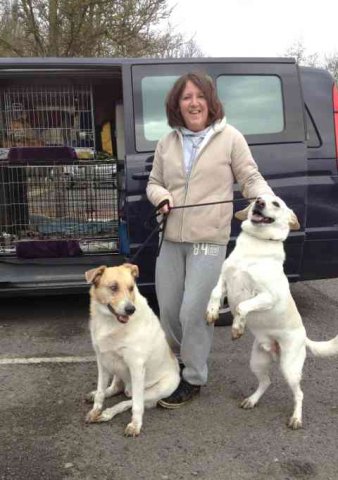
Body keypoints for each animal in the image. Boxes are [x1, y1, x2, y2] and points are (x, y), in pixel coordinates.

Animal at [84, 264, 180, 436]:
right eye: (113, 287)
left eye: (131, 288)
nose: (130, 309)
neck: (110, 322)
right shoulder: (102, 360)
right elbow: (101, 391)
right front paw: (95, 409)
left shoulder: (136, 366)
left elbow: (136, 405)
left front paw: (135, 425)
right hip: (115, 367)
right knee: (115, 388)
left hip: (155, 390)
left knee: (129, 401)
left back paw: (108, 413)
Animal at [205, 193, 338, 430]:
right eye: (258, 198)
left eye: (275, 203)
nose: (259, 202)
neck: (256, 245)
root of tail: (304, 337)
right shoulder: (224, 280)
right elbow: (214, 293)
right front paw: (211, 312)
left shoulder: (267, 296)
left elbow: (241, 306)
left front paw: (237, 327)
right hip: (257, 361)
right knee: (266, 381)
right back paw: (252, 400)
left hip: (290, 367)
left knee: (299, 393)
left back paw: (296, 418)